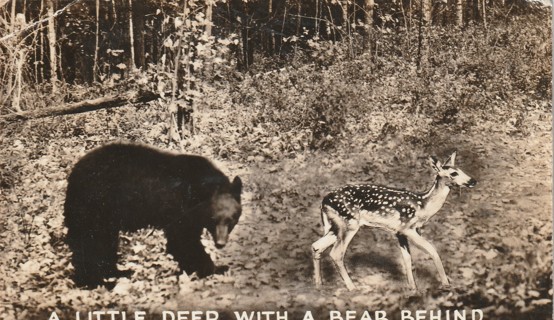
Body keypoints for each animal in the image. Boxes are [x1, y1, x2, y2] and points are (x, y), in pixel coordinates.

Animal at [63, 144, 240, 288]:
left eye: (231, 220)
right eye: (214, 219)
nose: (220, 243)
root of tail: (74, 173)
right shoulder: (180, 206)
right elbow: (183, 238)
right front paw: (214, 268)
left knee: (105, 242)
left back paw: (119, 272)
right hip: (95, 205)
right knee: (92, 242)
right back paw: (97, 281)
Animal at [310, 151, 474, 292]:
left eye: (461, 170)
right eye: (453, 173)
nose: (473, 180)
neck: (423, 205)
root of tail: (324, 202)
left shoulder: (400, 233)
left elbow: (407, 259)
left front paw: (413, 288)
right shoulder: (407, 227)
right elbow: (432, 250)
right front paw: (446, 284)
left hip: (335, 226)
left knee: (316, 246)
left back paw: (319, 285)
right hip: (349, 223)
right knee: (336, 253)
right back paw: (352, 288)